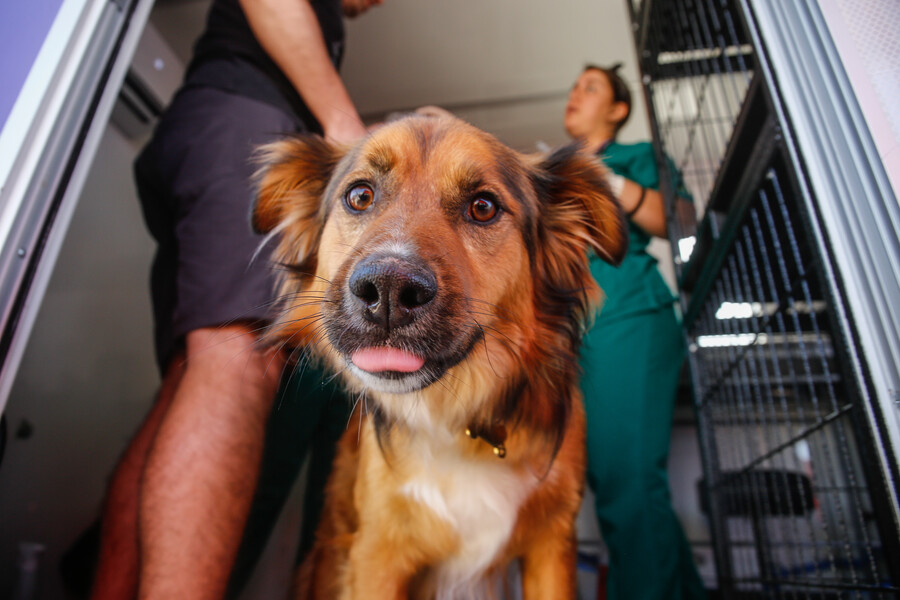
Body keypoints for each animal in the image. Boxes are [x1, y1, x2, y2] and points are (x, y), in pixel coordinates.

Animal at [248, 115, 624, 596]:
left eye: (483, 207)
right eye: (360, 196)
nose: (388, 290)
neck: (456, 419)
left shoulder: (553, 543)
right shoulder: (376, 553)